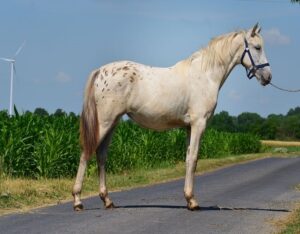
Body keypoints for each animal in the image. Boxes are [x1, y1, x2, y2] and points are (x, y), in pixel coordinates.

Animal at [72, 23, 272, 210]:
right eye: (257, 47)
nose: (268, 77)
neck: (205, 76)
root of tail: (100, 71)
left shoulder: (189, 127)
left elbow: (189, 159)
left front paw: (188, 199)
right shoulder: (199, 124)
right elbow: (194, 158)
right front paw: (192, 201)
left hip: (112, 123)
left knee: (101, 155)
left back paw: (107, 200)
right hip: (104, 122)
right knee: (86, 153)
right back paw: (77, 200)